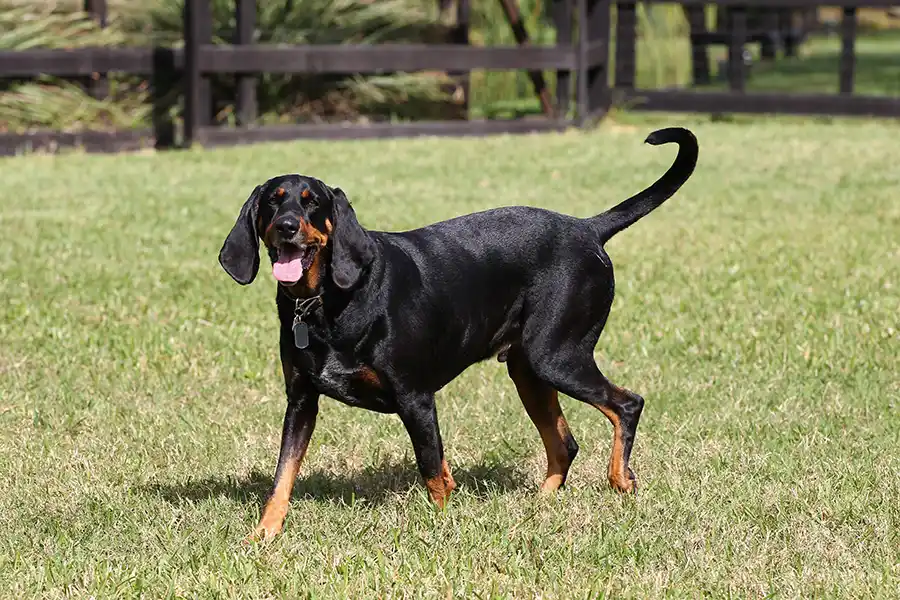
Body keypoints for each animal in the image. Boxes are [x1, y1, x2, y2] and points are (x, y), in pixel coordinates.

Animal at [218, 127, 696, 540]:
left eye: (311, 202)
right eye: (273, 202)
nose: (287, 227)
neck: (324, 304)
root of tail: (588, 227)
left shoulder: (415, 397)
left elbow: (432, 470)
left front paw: (441, 526)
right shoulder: (302, 400)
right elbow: (283, 476)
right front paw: (263, 534)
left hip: (557, 357)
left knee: (627, 404)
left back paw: (621, 480)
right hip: (528, 371)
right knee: (565, 443)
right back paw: (540, 505)